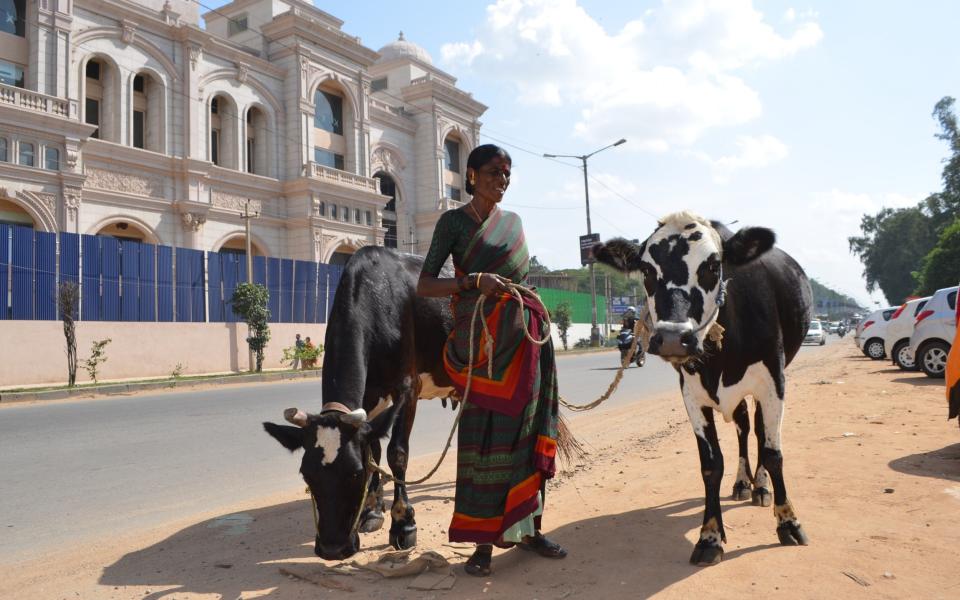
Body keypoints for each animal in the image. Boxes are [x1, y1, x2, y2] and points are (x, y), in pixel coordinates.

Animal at [262, 245, 458, 564]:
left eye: (354, 473)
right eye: (306, 474)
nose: (332, 548)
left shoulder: (408, 386)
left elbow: (397, 453)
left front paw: (403, 522)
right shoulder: (370, 396)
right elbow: (374, 447)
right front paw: (372, 509)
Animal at [596, 212, 812, 568]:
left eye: (713, 265)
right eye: (646, 270)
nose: (673, 338)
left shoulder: (773, 383)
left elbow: (773, 453)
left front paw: (789, 522)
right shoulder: (692, 394)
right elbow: (711, 465)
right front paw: (709, 537)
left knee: (757, 431)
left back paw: (760, 488)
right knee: (743, 428)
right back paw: (742, 483)